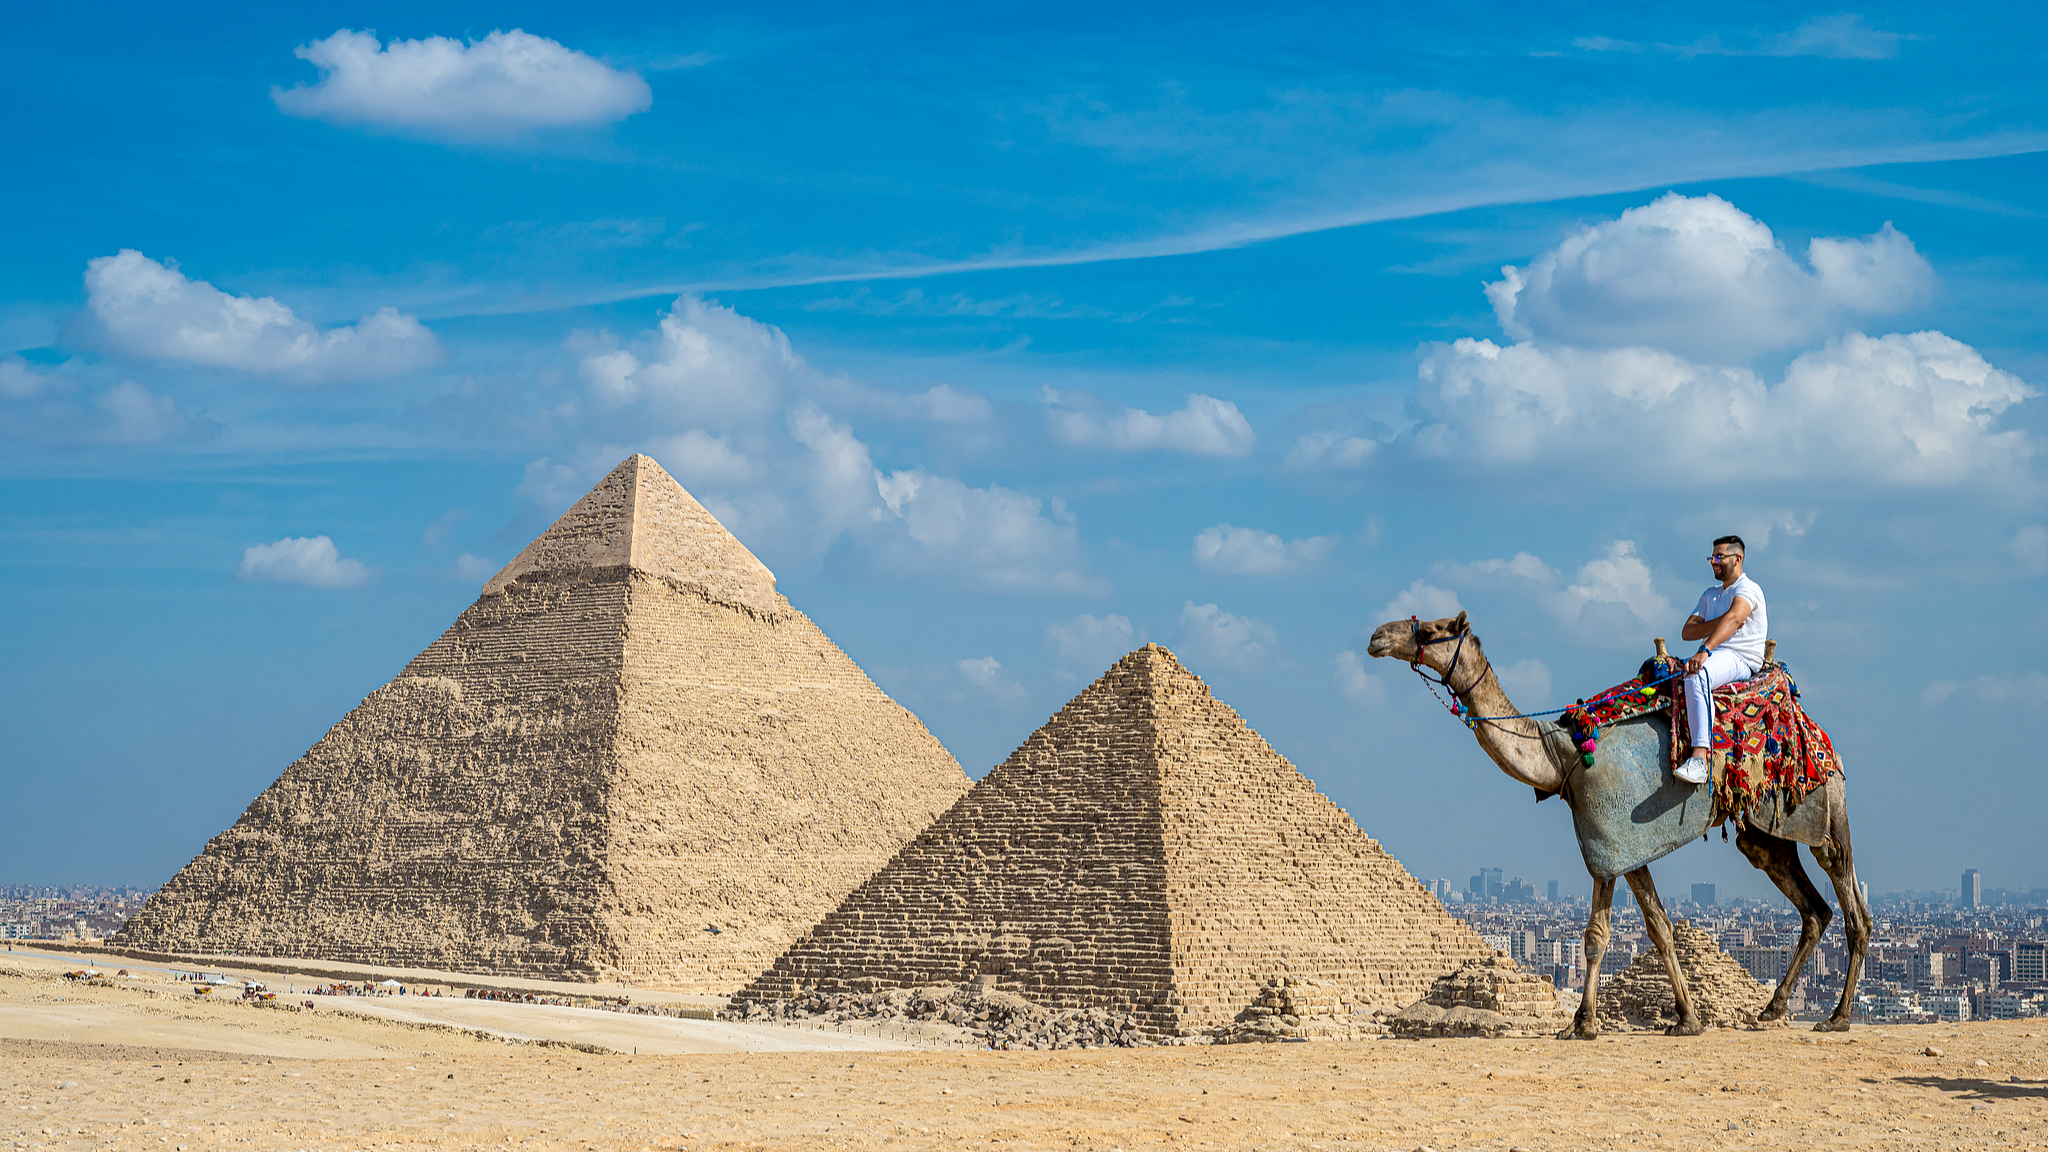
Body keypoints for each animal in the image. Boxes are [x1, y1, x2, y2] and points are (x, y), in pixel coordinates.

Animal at [1366, 612, 1870, 1037]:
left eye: (1432, 629)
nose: (1377, 636)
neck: (1561, 754)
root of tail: (1818, 734)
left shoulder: (1607, 840)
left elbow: (1597, 935)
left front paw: (1583, 1023)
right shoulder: (1625, 850)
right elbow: (1654, 929)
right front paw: (1684, 1018)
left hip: (1822, 808)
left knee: (1850, 901)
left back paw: (1838, 1016)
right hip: (1766, 832)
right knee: (1811, 907)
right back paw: (1773, 1006)